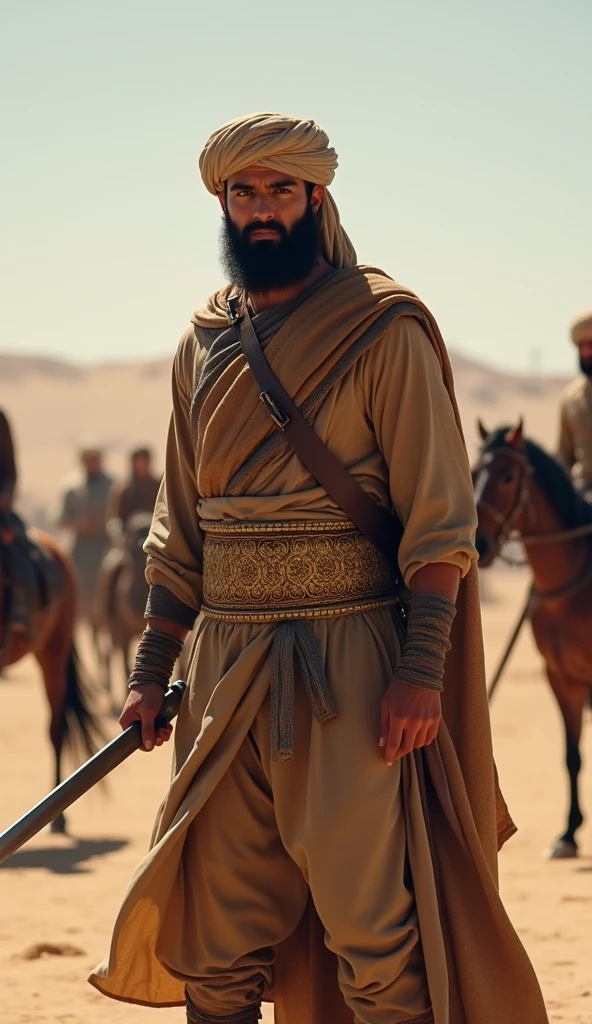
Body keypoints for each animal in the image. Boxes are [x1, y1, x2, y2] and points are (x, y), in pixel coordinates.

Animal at [473, 415, 589, 856]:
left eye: (508, 476)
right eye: (475, 471)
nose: (478, 542)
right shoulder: (560, 677)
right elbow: (572, 756)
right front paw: (568, 834)